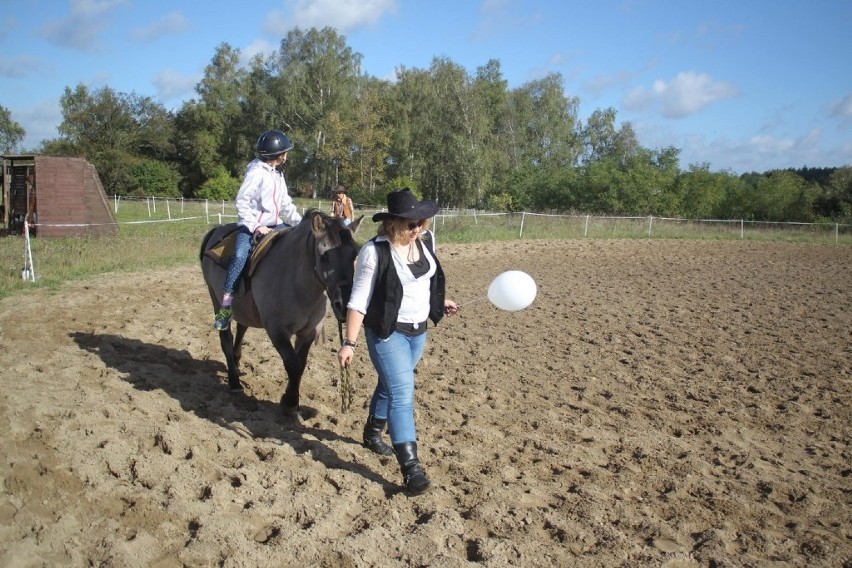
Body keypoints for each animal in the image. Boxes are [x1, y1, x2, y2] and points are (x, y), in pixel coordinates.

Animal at [201, 211, 362, 414]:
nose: (344, 304)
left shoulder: (309, 331)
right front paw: (290, 401)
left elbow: (300, 364)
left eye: (354, 254)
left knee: (242, 329)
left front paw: (291, 397)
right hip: (216, 300)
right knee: (226, 339)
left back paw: (237, 366)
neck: (296, 283)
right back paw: (234, 381)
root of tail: (216, 230)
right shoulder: (277, 331)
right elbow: (292, 364)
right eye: (324, 256)